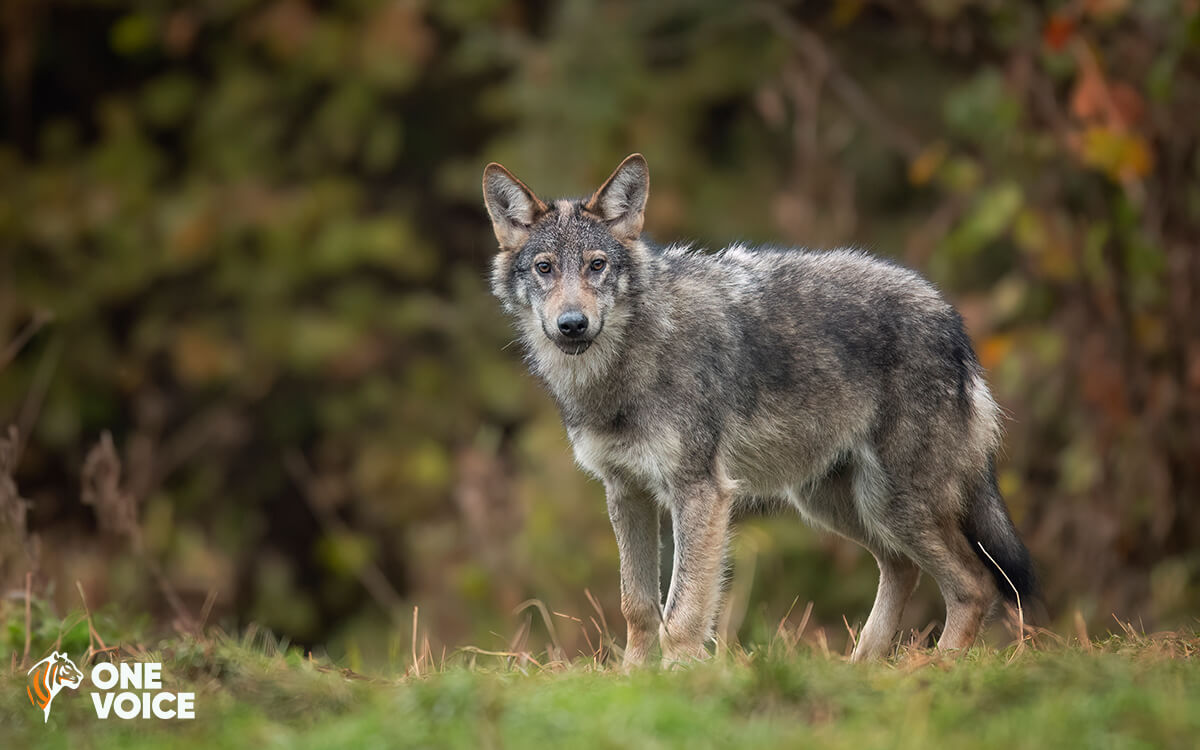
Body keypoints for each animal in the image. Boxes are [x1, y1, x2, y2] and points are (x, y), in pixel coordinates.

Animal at [482, 150, 1036, 662]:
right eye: (545, 268)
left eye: (596, 265)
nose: (572, 324)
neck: (625, 366)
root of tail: (952, 321)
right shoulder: (625, 492)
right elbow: (636, 609)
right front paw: (632, 683)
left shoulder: (700, 492)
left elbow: (679, 615)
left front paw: (678, 682)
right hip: (838, 504)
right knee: (902, 570)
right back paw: (863, 669)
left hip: (895, 505)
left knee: (974, 584)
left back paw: (933, 670)